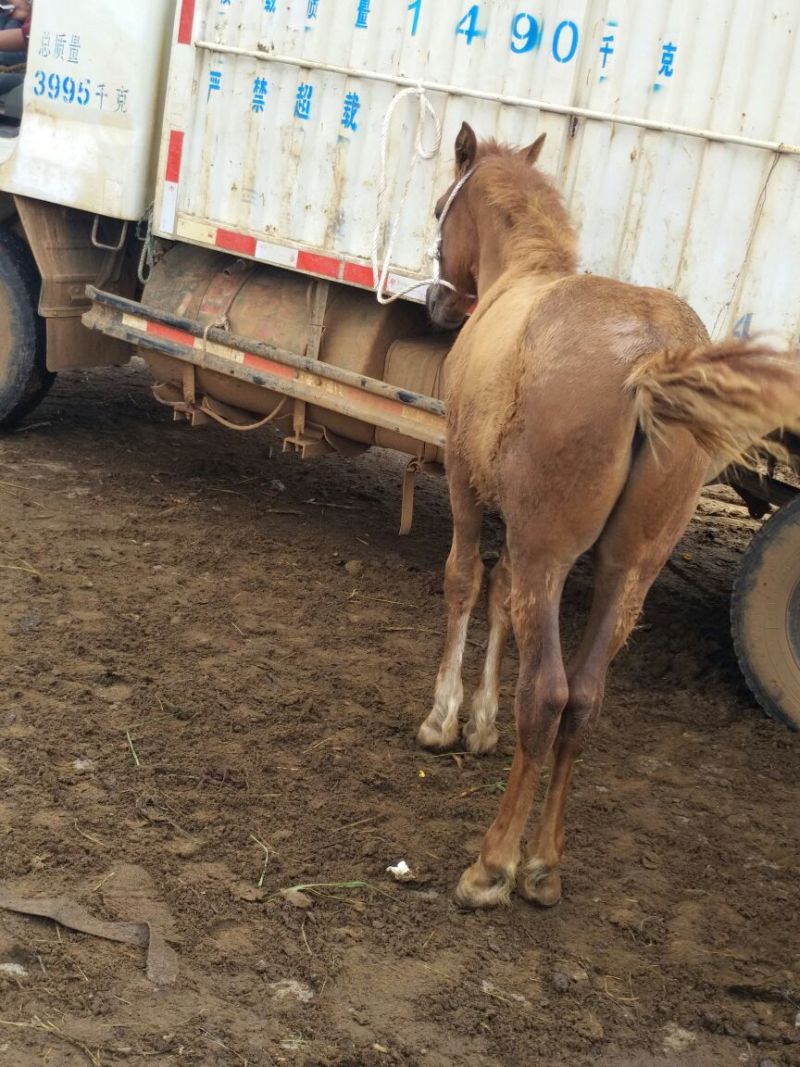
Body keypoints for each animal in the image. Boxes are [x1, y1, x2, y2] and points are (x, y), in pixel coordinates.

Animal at [416, 121, 800, 910]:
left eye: (443, 205)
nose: (439, 303)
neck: (520, 278)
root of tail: (651, 356)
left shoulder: (468, 490)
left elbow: (466, 581)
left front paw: (444, 719)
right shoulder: (520, 527)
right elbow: (500, 593)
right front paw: (480, 723)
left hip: (553, 555)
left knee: (548, 693)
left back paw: (493, 865)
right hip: (629, 571)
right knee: (584, 699)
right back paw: (542, 864)